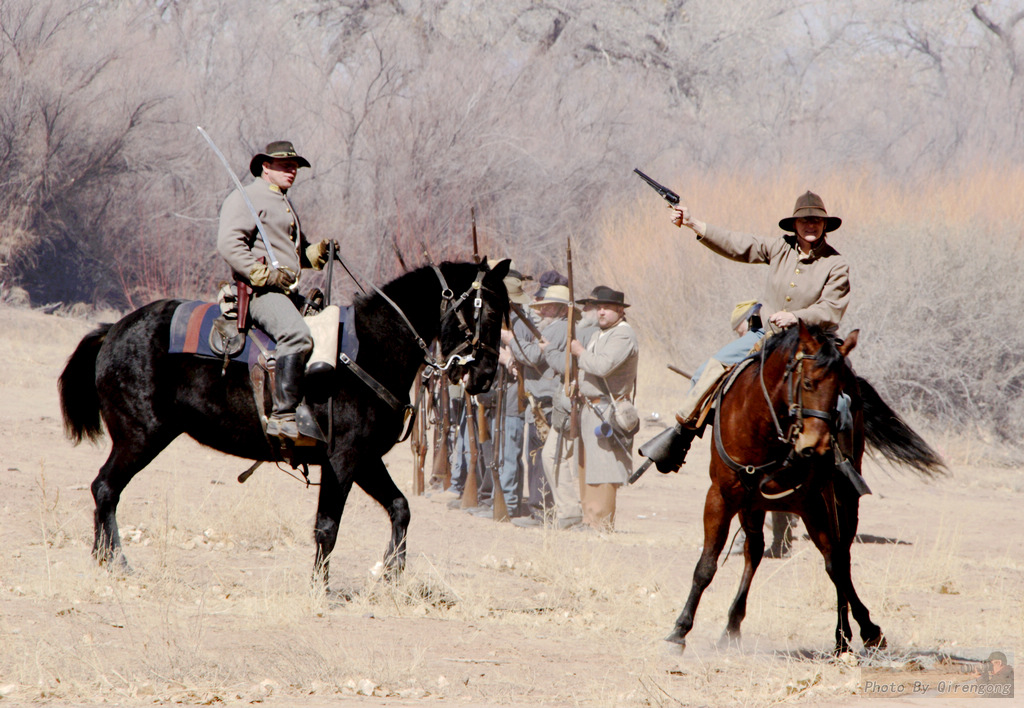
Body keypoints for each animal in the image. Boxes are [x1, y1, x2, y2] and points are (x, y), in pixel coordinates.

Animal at [58, 260, 509, 586]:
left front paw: (391, 572)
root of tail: (114, 331)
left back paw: (106, 560)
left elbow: (401, 508)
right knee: (105, 488)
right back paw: (115, 561)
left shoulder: (365, 460)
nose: (486, 376)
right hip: (140, 437)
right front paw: (320, 588)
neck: (370, 348)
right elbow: (328, 526)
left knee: (106, 490)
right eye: (487, 311)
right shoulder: (343, 461)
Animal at [667, 323, 946, 655]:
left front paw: (863, 632)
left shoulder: (812, 504)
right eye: (809, 383)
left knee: (840, 556)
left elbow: (835, 565)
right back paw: (733, 627)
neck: (760, 428)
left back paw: (848, 633)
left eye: (840, 391)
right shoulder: (721, 498)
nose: (820, 445)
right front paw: (679, 631)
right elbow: (706, 565)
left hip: (843, 499)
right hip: (754, 506)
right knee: (756, 551)